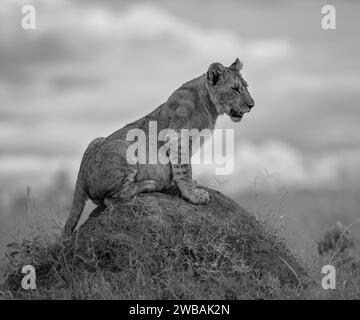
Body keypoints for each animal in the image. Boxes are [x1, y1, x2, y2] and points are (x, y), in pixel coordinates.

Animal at [62, 59, 253, 235]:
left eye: (246, 87)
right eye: (235, 89)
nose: (252, 105)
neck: (210, 105)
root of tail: (81, 176)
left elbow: (184, 168)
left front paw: (193, 185)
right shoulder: (178, 136)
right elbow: (184, 169)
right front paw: (194, 195)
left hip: (95, 141)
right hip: (124, 148)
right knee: (111, 199)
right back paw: (153, 184)